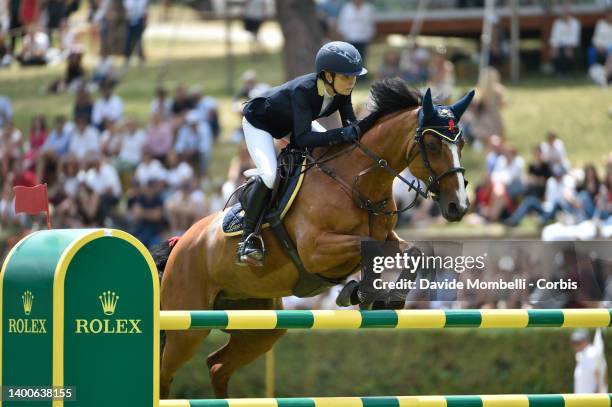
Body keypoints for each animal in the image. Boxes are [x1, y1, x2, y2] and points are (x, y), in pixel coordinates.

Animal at [158, 79, 474, 398]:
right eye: (432, 145)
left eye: (460, 144)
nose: (457, 207)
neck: (358, 182)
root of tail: (180, 244)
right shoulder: (316, 250)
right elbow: (366, 248)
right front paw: (361, 292)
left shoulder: (386, 236)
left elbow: (414, 252)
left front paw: (384, 298)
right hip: (187, 329)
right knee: (165, 373)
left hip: (259, 326)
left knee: (217, 366)